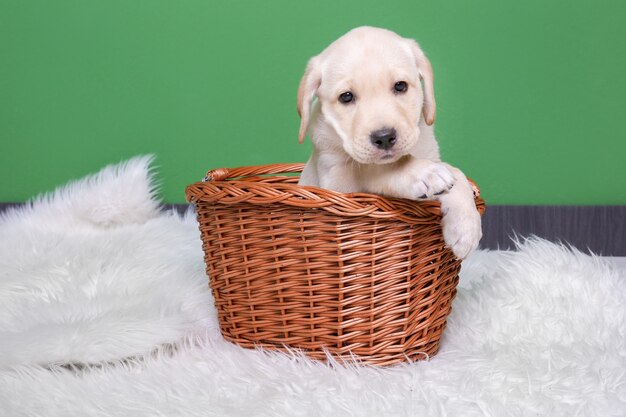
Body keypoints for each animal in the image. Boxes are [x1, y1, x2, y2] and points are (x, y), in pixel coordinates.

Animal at [294, 26, 480, 258]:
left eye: (400, 86)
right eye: (346, 97)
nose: (383, 137)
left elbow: (456, 173)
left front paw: (465, 226)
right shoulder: (337, 183)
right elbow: (372, 169)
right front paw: (422, 173)